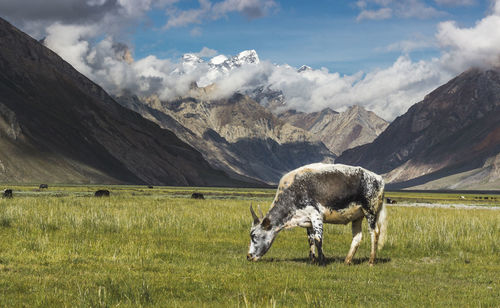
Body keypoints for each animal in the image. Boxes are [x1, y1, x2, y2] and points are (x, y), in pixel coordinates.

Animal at [247, 162, 386, 266]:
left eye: (254, 236)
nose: (248, 256)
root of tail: (379, 178)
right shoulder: (307, 220)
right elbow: (311, 239)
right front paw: (312, 260)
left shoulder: (316, 215)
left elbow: (318, 239)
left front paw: (322, 261)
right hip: (357, 216)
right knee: (357, 237)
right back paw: (347, 261)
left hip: (370, 211)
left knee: (374, 233)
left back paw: (371, 261)